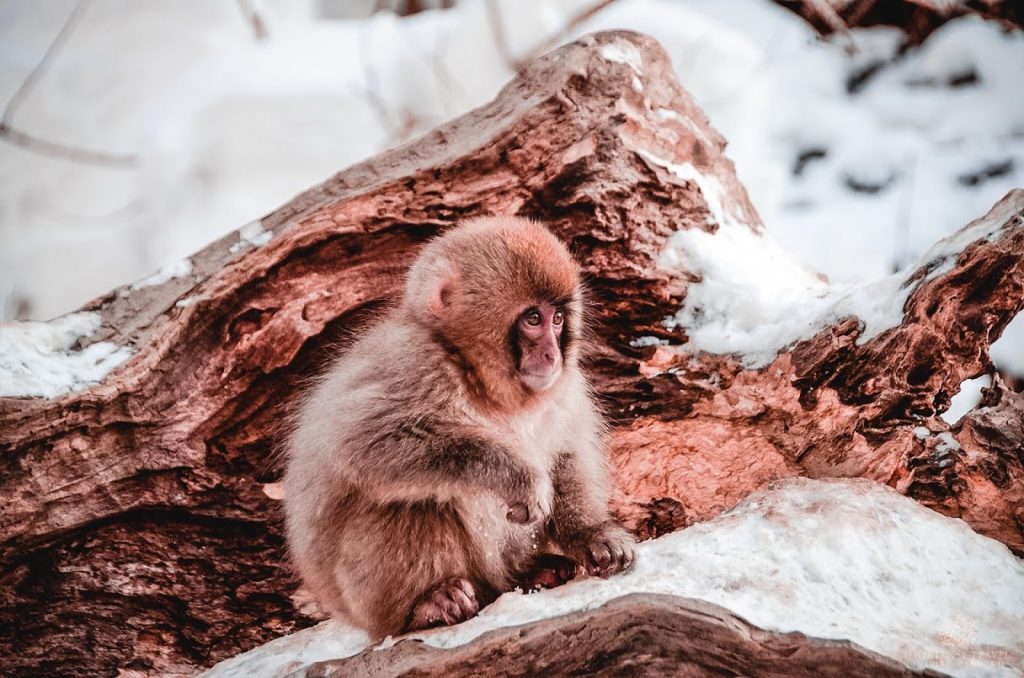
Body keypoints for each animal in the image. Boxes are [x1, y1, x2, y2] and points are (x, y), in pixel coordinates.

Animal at [280, 215, 630, 639]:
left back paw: (533, 573)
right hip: (366, 602)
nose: (552, 354)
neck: (481, 380)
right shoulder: (414, 363)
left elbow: (565, 453)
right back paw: (430, 603)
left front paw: (592, 535)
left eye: (558, 319)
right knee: (409, 501)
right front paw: (517, 477)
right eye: (533, 319)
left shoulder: (564, 390)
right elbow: (365, 444)